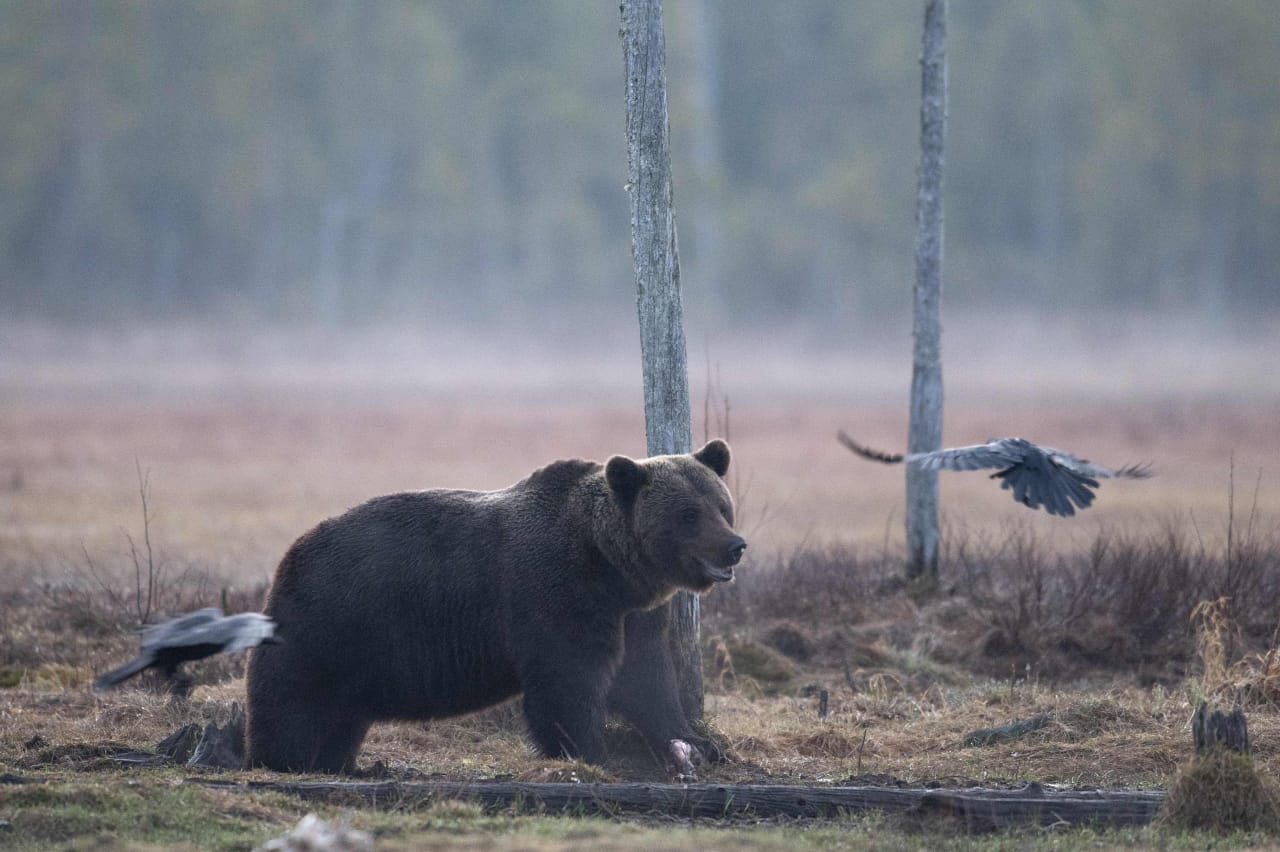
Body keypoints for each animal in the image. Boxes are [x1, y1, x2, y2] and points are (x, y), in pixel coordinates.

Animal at [240, 437, 747, 767]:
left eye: (722, 506)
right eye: (688, 514)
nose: (734, 546)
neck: (611, 568)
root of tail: (293, 552)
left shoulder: (634, 615)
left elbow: (648, 680)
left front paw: (699, 744)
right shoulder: (558, 595)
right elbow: (568, 682)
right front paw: (590, 753)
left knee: (343, 718)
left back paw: (344, 763)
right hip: (329, 622)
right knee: (292, 705)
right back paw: (282, 761)